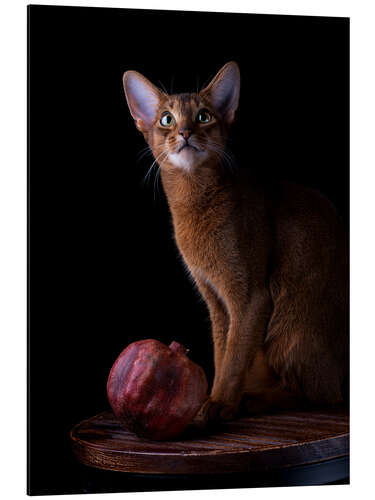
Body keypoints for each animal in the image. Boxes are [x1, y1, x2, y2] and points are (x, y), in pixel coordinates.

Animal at [123, 60, 350, 424]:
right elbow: (222, 352)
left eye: (203, 116)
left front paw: (219, 403)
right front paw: (212, 397)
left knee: (324, 395)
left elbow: (234, 356)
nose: (185, 132)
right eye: (166, 119)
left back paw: (254, 399)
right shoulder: (214, 299)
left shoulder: (250, 296)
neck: (194, 202)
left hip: (292, 324)